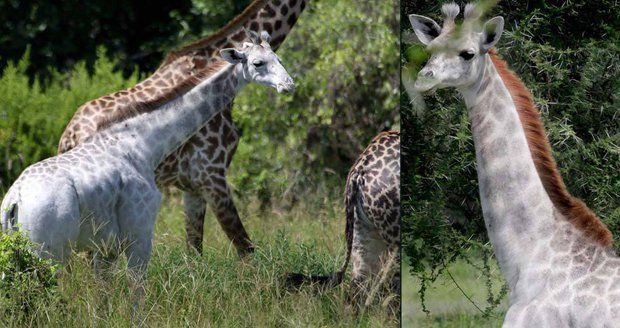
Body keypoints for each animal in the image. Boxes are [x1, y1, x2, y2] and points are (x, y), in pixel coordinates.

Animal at [1, 30, 294, 308]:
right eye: (258, 63)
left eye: (279, 59)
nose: (289, 85)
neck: (145, 144)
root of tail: (13, 200)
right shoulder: (139, 233)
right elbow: (136, 296)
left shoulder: (105, 247)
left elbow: (102, 299)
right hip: (50, 253)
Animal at [57, 0, 308, 256]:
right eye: (258, 63)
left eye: (280, 60)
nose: (289, 85)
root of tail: (69, 137)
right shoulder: (212, 174)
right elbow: (245, 247)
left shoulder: (192, 186)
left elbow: (194, 250)